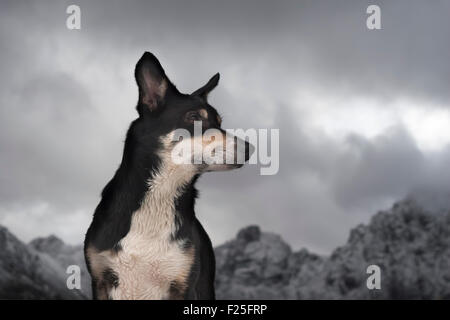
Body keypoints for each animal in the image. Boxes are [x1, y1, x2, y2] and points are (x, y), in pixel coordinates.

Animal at [84, 51, 253, 298]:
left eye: (220, 123)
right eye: (194, 117)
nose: (250, 149)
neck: (160, 195)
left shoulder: (183, 282)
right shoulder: (100, 279)